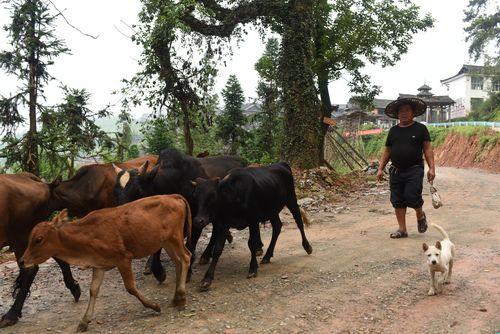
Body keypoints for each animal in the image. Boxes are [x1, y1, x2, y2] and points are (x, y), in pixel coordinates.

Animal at [20, 193, 191, 332]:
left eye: (38, 239)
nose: (22, 261)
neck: (87, 235)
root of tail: (174, 196)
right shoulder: (99, 265)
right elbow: (93, 290)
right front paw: (84, 321)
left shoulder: (123, 259)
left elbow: (130, 288)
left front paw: (154, 306)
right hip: (166, 242)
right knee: (178, 262)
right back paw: (176, 298)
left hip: (175, 237)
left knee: (186, 258)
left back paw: (182, 298)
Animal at [191, 161, 312, 290]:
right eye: (195, 197)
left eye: (213, 195)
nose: (198, 220)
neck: (234, 196)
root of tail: (281, 164)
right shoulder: (223, 224)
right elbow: (217, 250)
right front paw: (207, 279)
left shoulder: (253, 221)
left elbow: (252, 244)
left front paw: (253, 268)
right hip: (272, 210)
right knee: (277, 227)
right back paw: (267, 256)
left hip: (291, 199)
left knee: (299, 221)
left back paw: (307, 246)